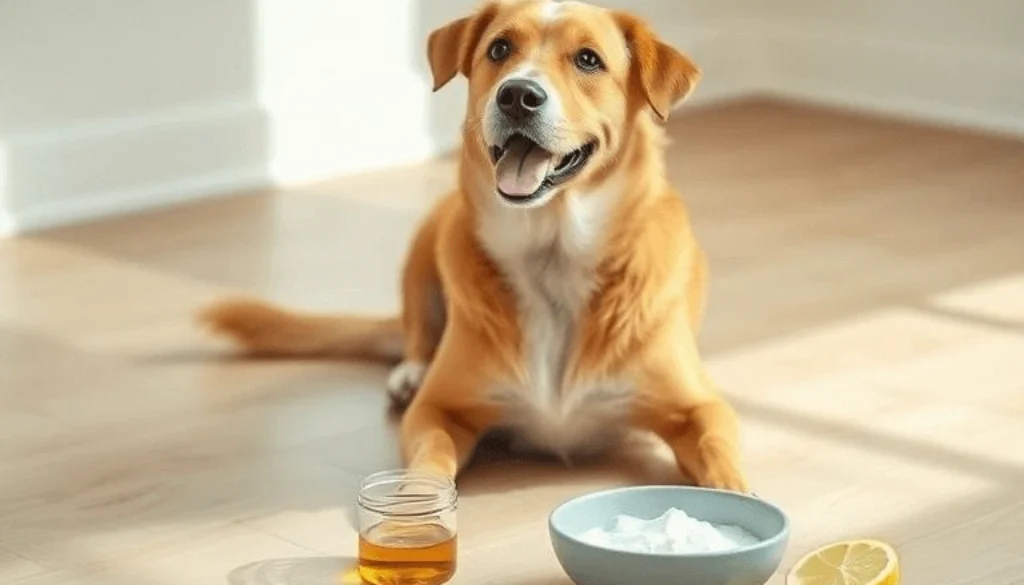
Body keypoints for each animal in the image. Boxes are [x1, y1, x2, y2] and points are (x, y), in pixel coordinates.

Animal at [199, 0, 749, 493]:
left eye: (589, 59)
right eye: (499, 48)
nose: (518, 95)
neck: (552, 254)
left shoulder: (700, 408)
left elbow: (721, 454)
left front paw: (739, 502)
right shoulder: (439, 409)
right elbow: (429, 459)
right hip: (428, 237)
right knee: (416, 331)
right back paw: (410, 371)